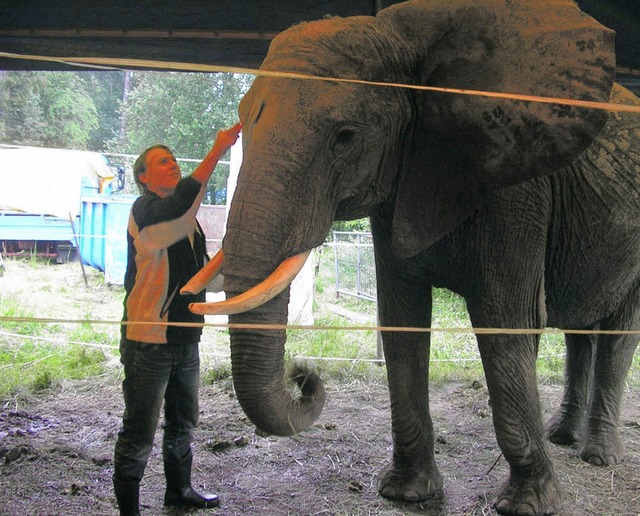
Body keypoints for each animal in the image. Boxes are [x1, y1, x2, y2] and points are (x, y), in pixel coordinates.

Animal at [182, 0, 636, 512]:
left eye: (345, 136)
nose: (304, 375)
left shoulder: (518, 192)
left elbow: (506, 326)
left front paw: (527, 504)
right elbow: (401, 320)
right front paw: (405, 493)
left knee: (619, 333)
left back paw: (598, 456)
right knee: (582, 333)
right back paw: (563, 438)